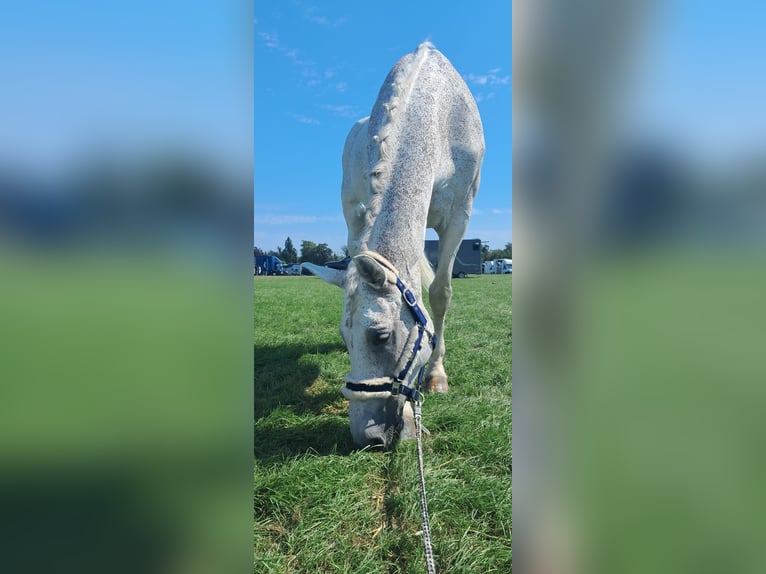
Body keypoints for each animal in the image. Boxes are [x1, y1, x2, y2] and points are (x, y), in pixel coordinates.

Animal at [304, 44, 486, 450]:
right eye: (344, 337)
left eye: (381, 336)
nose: (366, 436)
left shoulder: (460, 216)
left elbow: (441, 292)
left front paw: (436, 375)